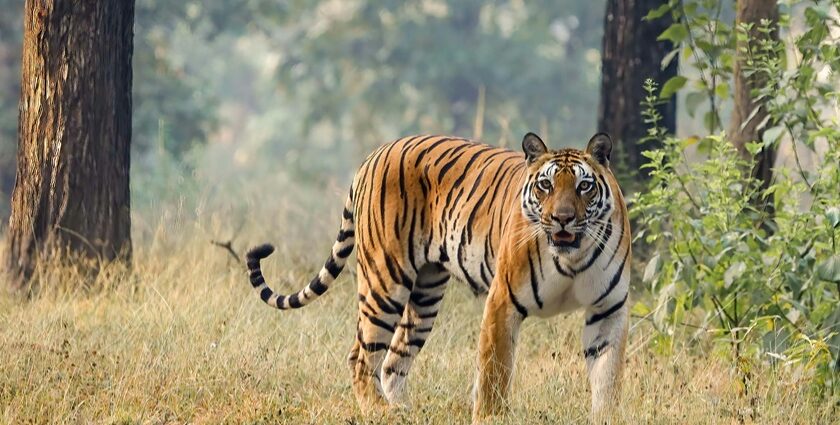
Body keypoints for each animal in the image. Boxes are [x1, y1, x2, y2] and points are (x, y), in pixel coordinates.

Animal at [243, 132, 632, 420]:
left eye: (583, 187)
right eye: (546, 186)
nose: (563, 219)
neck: (571, 257)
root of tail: (375, 153)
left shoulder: (608, 310)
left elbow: (608, 378)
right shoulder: (503, 302)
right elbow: (494, 374)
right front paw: (491, 417)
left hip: (425, 294)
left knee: (393, 360)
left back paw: (404, 411)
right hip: (385, 281)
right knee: (361, 356)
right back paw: (379, 411)